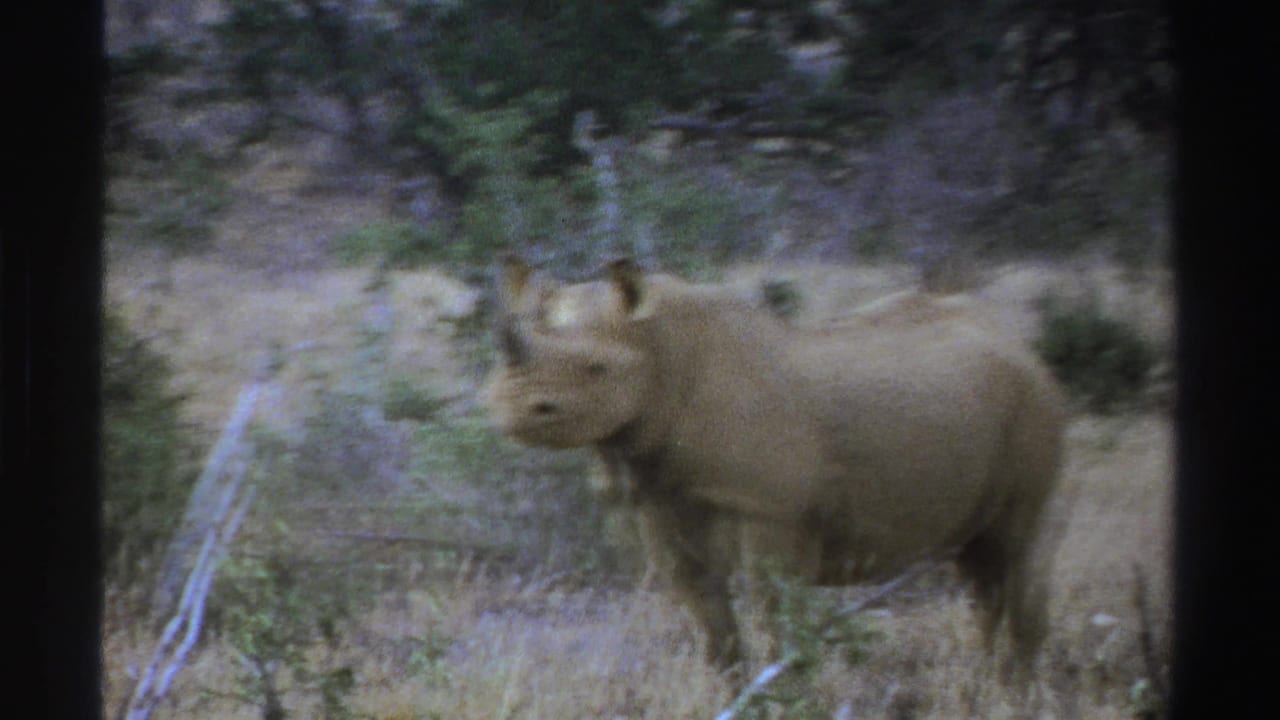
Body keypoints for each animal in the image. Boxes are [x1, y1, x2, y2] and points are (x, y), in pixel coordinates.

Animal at [483, 256, 1067, 679]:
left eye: (596, 368)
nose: (511, 408)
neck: (660, 350)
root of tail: (1020, 344)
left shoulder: (772, 514)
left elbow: (773, 625)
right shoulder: (660, 501)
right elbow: (712, 630)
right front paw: (730, 692)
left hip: (1035, 402)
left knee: (1017, 549)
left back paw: (1013, 689)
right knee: (980, 571)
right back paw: (976, 679)